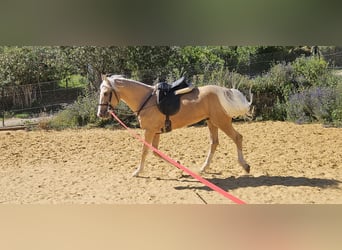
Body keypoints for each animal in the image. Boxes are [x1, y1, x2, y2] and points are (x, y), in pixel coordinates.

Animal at [97, 74, 252, 178]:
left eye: (106, 93)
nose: (100, 113)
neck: (146, 100)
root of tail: (222, 91)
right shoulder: (156, 132)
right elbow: (156, 152)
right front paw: (179, 166)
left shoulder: (149, 131)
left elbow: (145, 151)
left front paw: (137, 172)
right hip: (211, 122)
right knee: (214, 143)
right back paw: (203, 168)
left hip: (221, 121)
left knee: (237, 137)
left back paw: (245, 166)